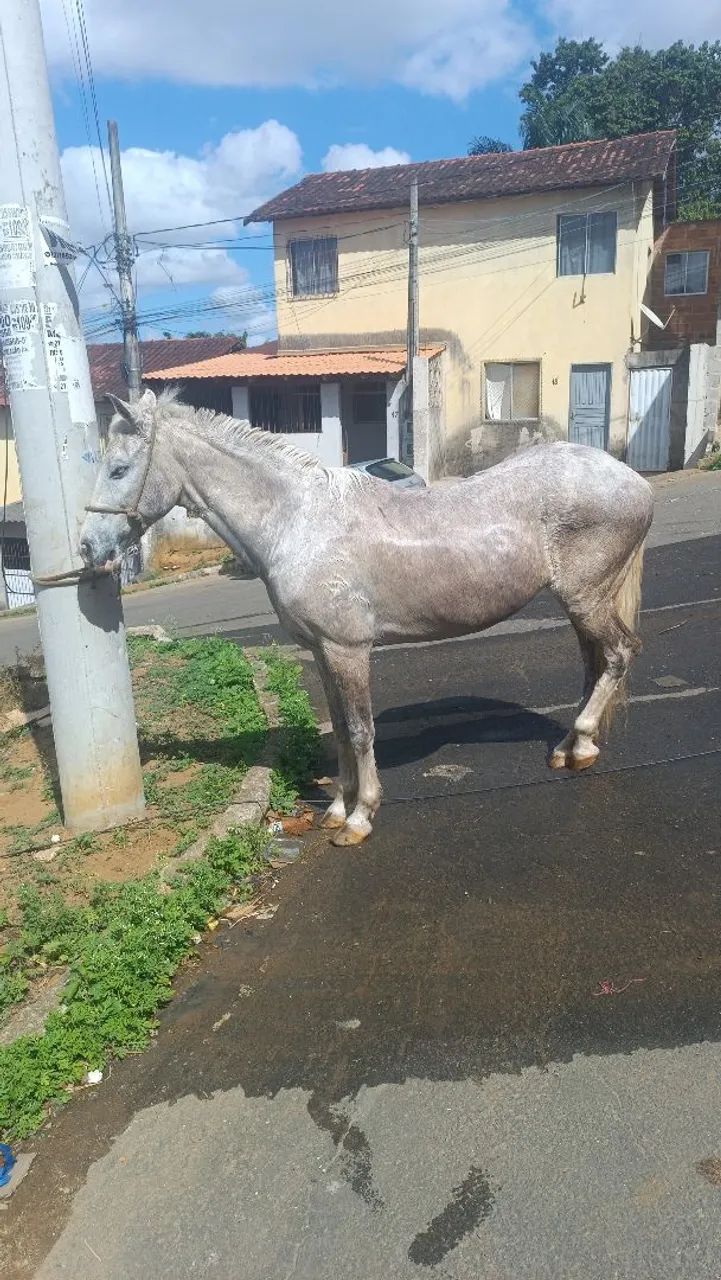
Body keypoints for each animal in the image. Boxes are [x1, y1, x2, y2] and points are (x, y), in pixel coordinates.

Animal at [80, 388, 654, 846]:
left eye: (118, 469)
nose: (88, 548)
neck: (298, 521)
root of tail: (634, 481)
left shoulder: (348, 650)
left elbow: (359, 730)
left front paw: (360, 817)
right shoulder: (320, 650)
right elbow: (337, 728)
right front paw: (336, 808)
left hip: (586, 598)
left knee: (618, 654)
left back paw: (581, 741)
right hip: (580, 602)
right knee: (594, 662)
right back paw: (571, 747)